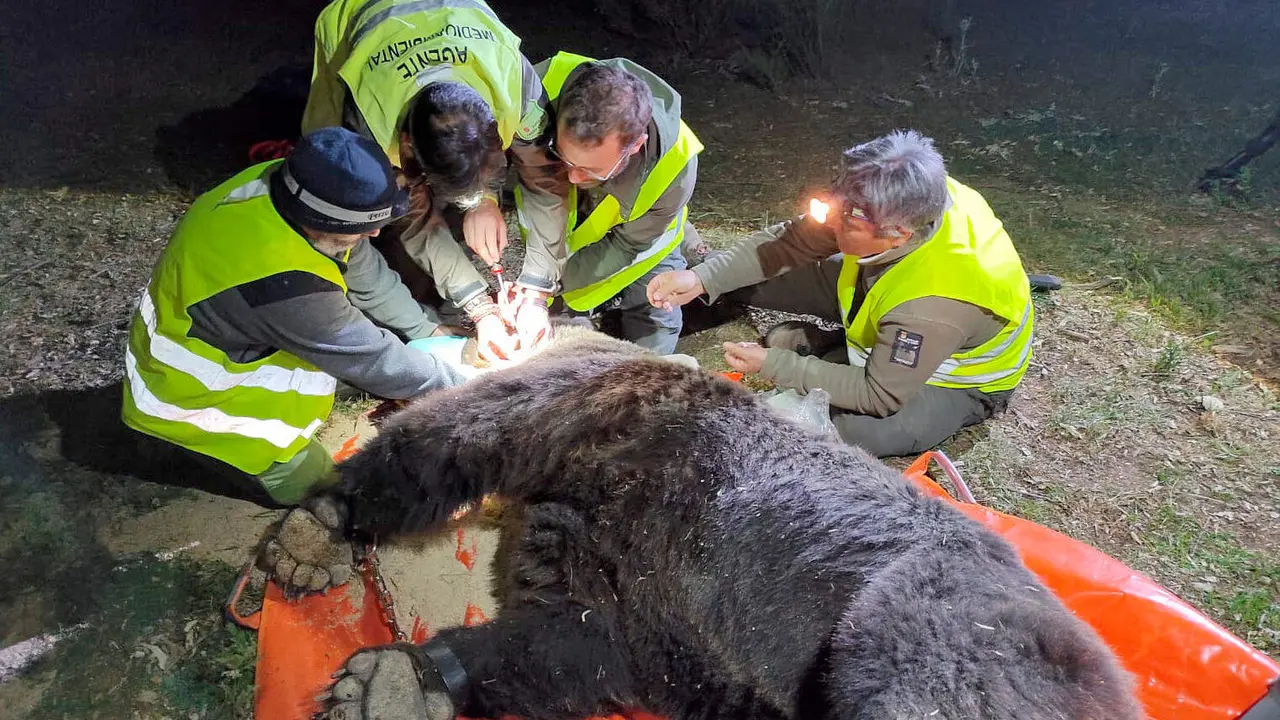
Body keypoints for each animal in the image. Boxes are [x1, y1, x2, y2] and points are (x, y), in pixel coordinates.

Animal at [261, 325, 1142, 720]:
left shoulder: (598, 409)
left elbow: (464, 430)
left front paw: (326, 520)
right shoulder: (626, 607)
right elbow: (567, 643)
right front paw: (403, 678)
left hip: (936, 631)